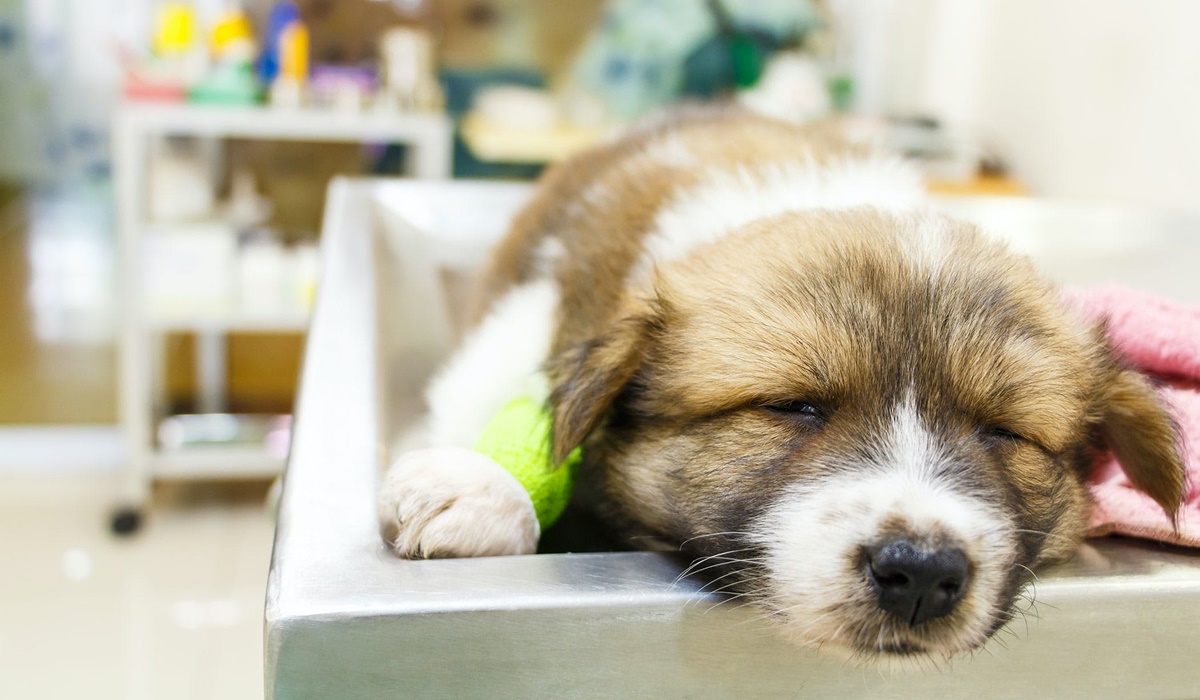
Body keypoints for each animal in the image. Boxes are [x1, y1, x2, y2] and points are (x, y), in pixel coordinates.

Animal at [379, 109, 1185, 662]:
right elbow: (501, 393)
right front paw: (481, 486)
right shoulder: (534, 313)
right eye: (794, 406)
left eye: (1004, 431)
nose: (922, 573)